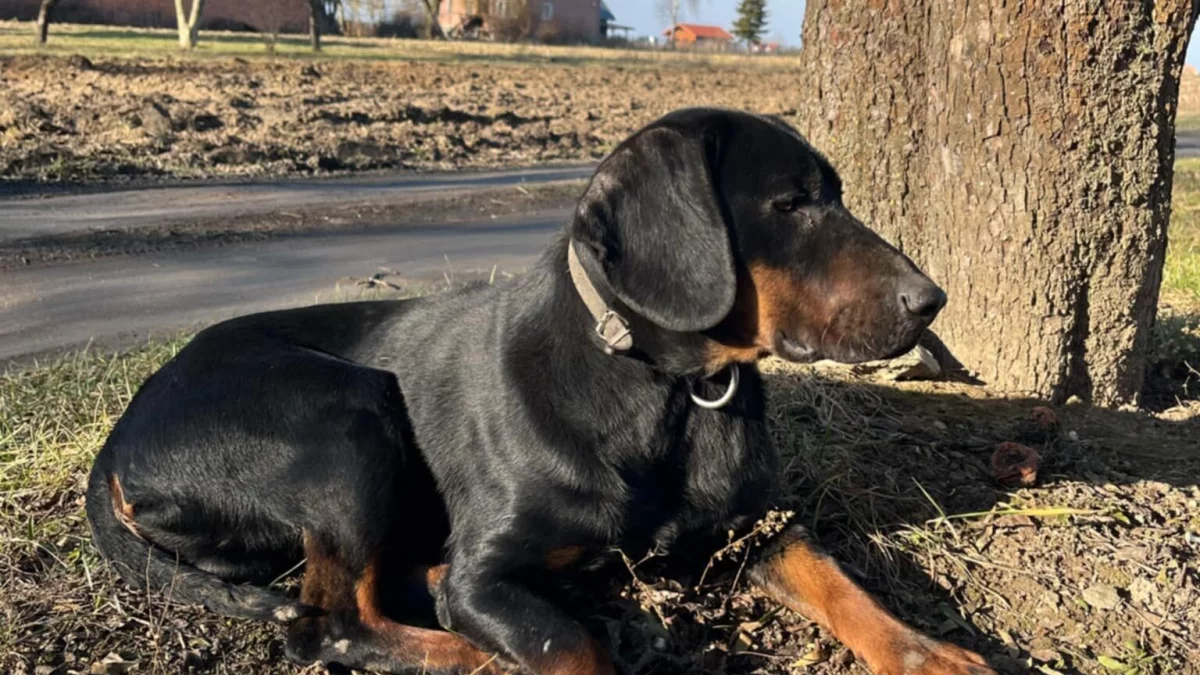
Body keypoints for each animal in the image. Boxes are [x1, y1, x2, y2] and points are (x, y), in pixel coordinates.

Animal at [87, 107, 993, 667]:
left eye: (830, 195)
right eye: (792, 204)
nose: (932, 300)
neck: (666, 390)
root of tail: (116, 442)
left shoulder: (756, 527)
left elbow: (844, 584)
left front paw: (936, 655)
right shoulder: (492, 570)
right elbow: (572, 646)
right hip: (347, 414)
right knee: (332, 625)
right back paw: (469, 651)